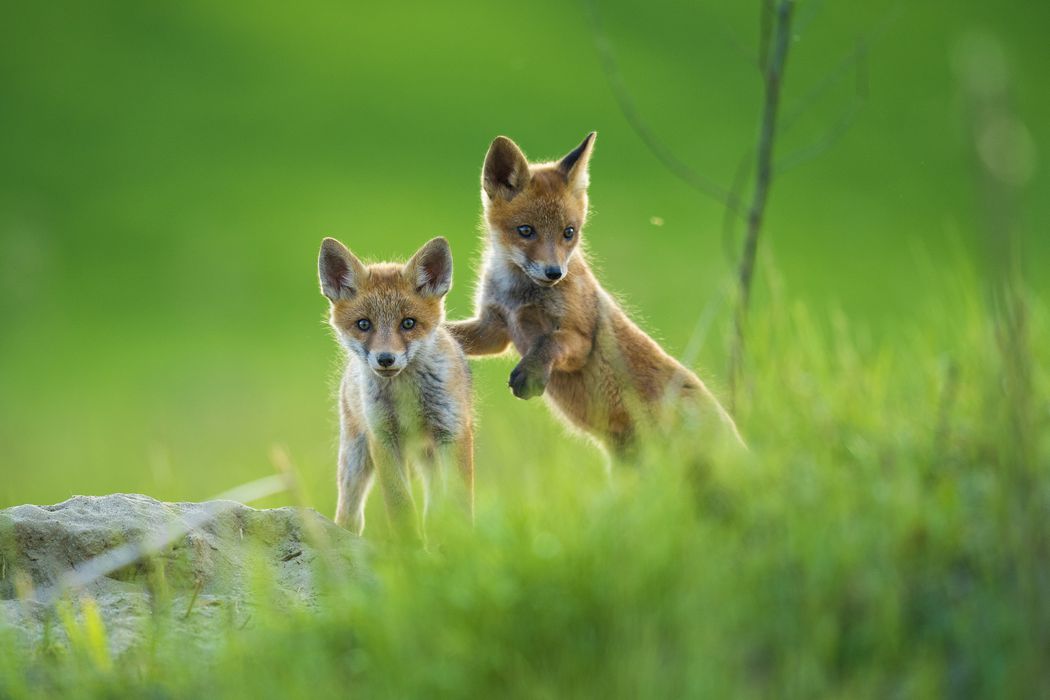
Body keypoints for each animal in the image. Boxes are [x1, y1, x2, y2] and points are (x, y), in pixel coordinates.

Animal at [318, 236, 473, 541]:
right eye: (363, 324)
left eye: (408, 323)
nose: (386, 359)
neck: (406, 396)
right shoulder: (383, 438)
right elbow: (400, 505)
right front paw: (410, 549)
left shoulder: (454, 431)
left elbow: (460, 502)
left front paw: (465, 544)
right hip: (355, 456)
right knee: (349, 514)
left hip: (432, 457)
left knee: (436, 508)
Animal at [448, 132, 743, 457]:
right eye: (525, 230)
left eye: (569, 232)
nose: (554, 273)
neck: (518, 296)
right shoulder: (495, 329)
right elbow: (454, 334)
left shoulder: (580, 340)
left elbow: (550, 342)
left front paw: (532, 372)